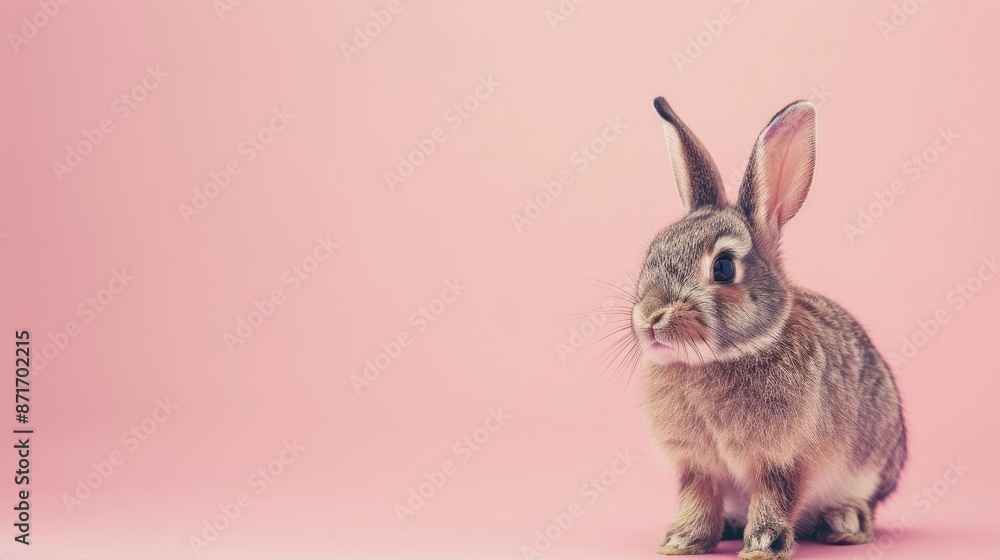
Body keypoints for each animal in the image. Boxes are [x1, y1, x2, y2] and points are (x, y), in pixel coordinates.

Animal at [632, 97, 907, 560]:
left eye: (724, 267)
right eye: (652, 252)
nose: (651, 316)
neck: (718, 360)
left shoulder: (784, 459)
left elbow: (774, 497)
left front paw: (762, 545)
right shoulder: (697, 465)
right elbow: (698, 497)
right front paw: (681, 542)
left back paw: (843, 524)